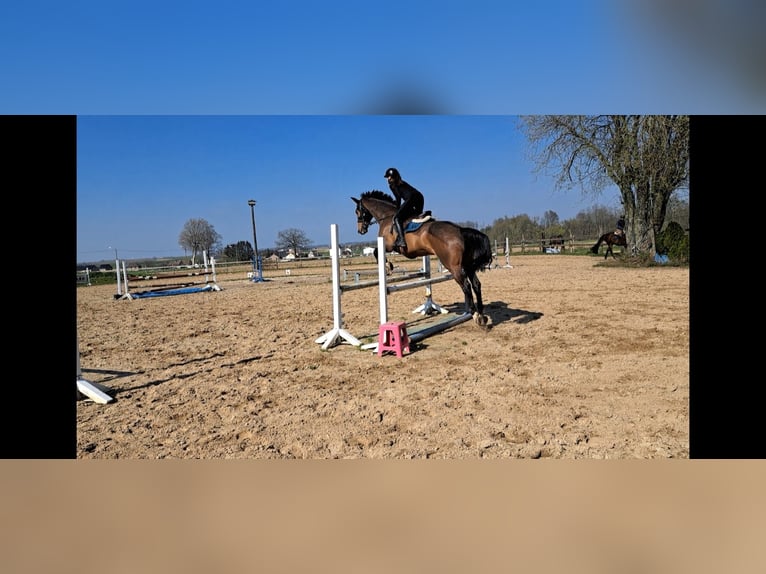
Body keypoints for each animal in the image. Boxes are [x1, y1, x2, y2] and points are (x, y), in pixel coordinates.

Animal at [351, 190, 492, 328]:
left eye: (358, 211)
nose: (360, 230)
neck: (386, 217)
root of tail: (460, 230)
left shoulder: (389, 246)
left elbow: (376, 252)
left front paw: (388, 267)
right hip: (468, 266)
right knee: (476, 284)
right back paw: (482, 316)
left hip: (454, 267)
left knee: (466, 286)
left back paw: (475, 315)